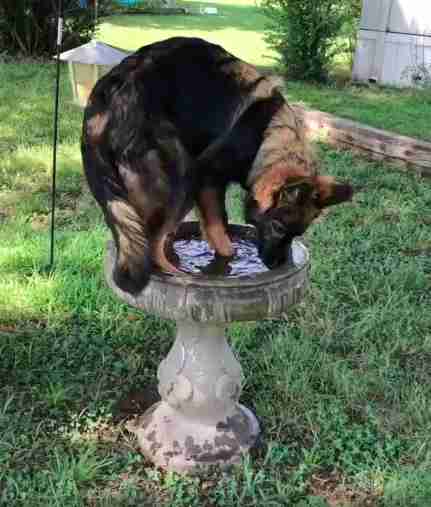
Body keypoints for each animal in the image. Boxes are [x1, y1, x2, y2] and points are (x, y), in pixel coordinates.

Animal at [82, 36, 354, 294]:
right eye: (278, 227)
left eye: (296, 234)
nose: (277, 264)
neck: (268, 137)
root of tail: (104, 101)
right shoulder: (207, 178)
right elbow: (222, 232)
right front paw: (225, 265)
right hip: (183, 177)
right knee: (154, 241)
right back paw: (180, 275)